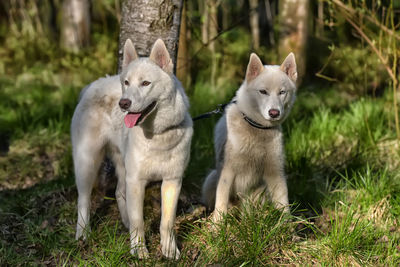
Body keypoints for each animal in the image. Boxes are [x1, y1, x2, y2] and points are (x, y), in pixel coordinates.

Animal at [71, 38, 193, 260]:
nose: (123, 103)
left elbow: (167, 222)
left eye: (145, 83)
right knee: (83, 200)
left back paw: (124, 223)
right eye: (126, 83)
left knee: (119, 192)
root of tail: (92, 86)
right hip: (87, 162)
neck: (158, 134)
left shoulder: (172, 181)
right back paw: (83, 234)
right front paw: (138, 250)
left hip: (121, 163)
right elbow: (139, 221)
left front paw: (169, 250)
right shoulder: (137, 181)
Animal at [200, 52, 296, 222]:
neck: (256, 127)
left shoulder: (275, 171)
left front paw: (287, 226)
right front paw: (217, 225)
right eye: (263, 91)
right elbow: (221, 202)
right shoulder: (227, 172)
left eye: (282, 92)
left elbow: (283, 202)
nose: (274, 113)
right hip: (211, 179)